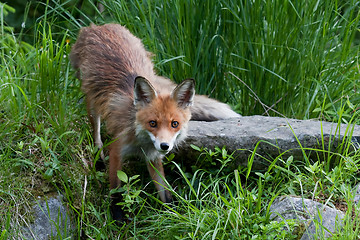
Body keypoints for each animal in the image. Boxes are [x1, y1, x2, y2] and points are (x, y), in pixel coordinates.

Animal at [70, 23, 239, 221]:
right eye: (152, 123)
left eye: (174, 124)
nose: (165, 145)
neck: (141, 140)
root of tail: (98, 26)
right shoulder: (117, 150)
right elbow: (116, 188)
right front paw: (118, 217)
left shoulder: (153, 157)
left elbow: (164, 191)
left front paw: (173, 215)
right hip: (92, 101)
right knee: (96, 130)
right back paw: (98, 157)